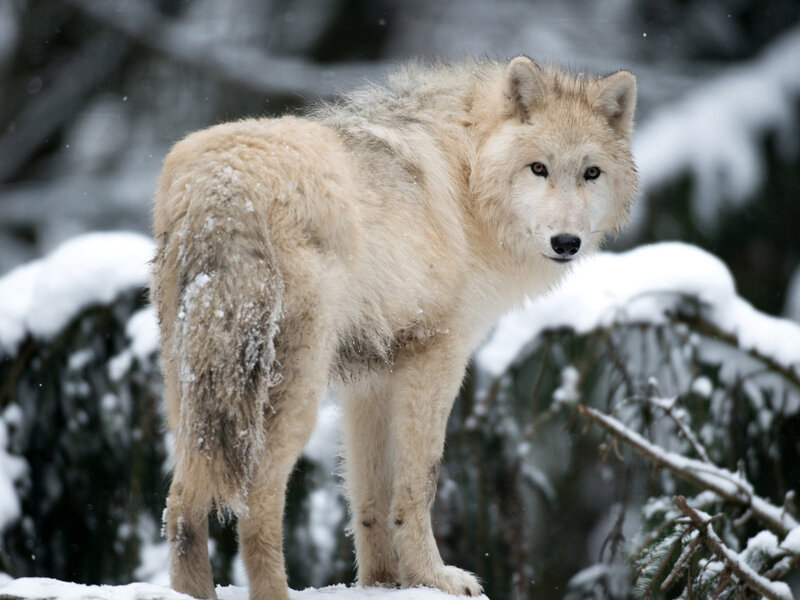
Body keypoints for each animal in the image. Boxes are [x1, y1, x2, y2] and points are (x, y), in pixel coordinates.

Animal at [150, 56, 637, 599]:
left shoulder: (372, 379)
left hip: (193, 390)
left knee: (181, 506)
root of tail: (225, 184)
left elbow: (370, 499)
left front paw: (382, 583)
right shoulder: (438, 358)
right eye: (539, 168)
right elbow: (419, 483)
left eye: (591, 173)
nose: (567, 242)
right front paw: (435, 577)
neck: (469, 175)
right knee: (255, 510)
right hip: (290, 395)